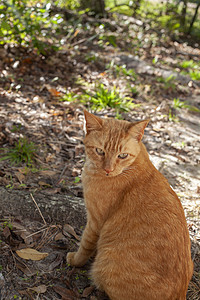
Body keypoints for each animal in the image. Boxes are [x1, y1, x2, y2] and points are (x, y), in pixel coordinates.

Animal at [67, 110, 192, 300]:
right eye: (100, 151)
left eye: (122, 155)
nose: (108, 170)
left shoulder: (95, 222)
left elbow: (85, 245)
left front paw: (75, 260)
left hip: (106, 263)